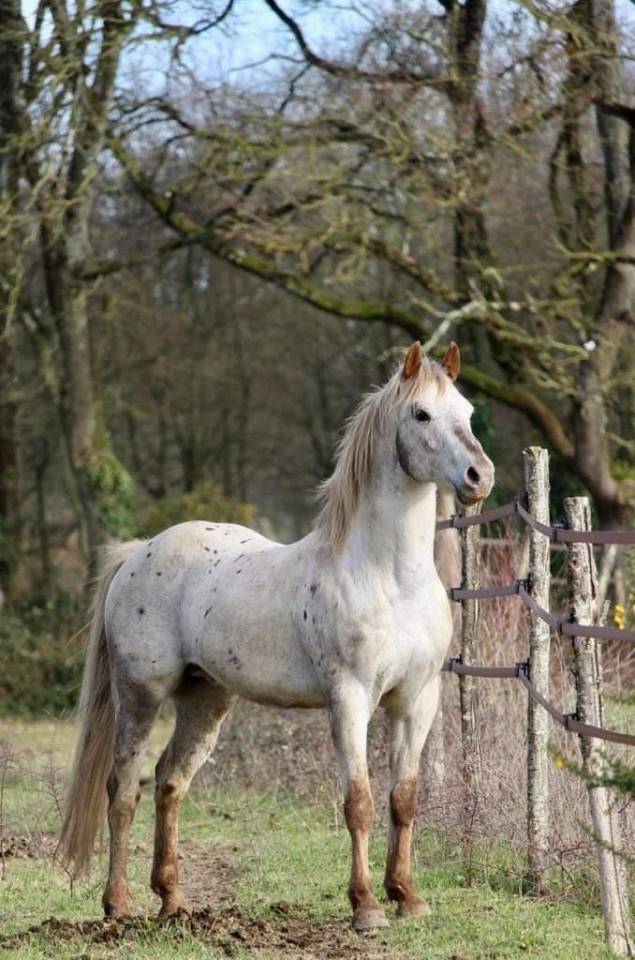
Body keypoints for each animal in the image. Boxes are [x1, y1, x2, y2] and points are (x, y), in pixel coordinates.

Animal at [59, 340, 494, 932]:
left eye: (467, 412)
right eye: (421, 414)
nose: (479, 476)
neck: (389, 577)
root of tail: (138, 552)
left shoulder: (416, 701)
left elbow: (404, 798)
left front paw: (407, 895)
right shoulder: (350, 699)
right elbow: (358, 801)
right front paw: (366, 907)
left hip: (206, 699)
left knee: (170, 782)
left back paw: (173, 901)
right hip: (141, 696)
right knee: (123, 788)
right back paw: (118, 906)